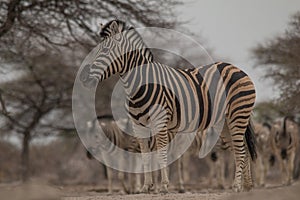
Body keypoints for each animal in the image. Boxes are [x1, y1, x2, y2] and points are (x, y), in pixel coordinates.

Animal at [79, 19, 258, 192]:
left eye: (105, 50)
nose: (84, 77)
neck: (139, 86)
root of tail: (236, 68)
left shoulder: (160, 121)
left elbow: (161, 155)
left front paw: (164, 186)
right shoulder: (138, 125)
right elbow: (145, 156)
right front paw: (146, 187)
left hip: (237, 115)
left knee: (240, 151)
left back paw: (237, 186)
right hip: (225, 122)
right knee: (241, 150)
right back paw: (247, 187)